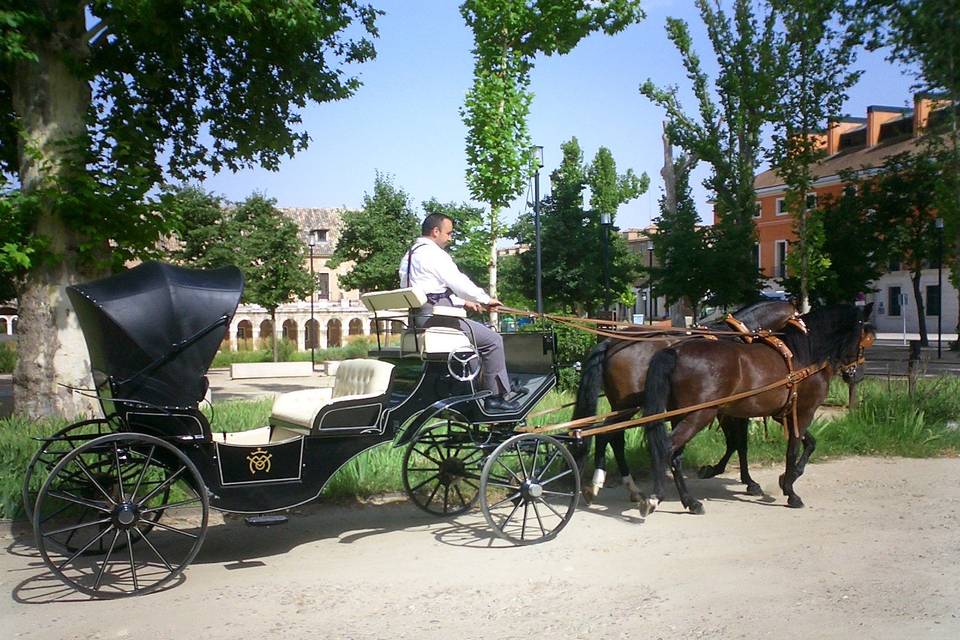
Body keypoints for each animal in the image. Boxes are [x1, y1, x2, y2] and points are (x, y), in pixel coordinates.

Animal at [568, 300, 804, 504]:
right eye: (798, 317)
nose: (805, 333)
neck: (734, 337)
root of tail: (611, 341)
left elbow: (734, 443)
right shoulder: (730, 409)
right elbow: (739, 443)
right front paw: (747, 480)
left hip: (623, 407)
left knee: (610, 436)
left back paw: (620, 487)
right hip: (627, 406)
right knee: (609, 435)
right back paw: (604, 484)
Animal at [640, 302, 872, 516]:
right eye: (864, 340)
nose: (858, 375)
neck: (804, 355)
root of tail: (675, 351)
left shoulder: (783, 414)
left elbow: (809, 443)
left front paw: (786, 478)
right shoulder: (804, 412)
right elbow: (792, 450)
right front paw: (790, 491)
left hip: (680, 416)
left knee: (675, 455)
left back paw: (689, 501)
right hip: (699, 415)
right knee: (667, 448)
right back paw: (658, 497)